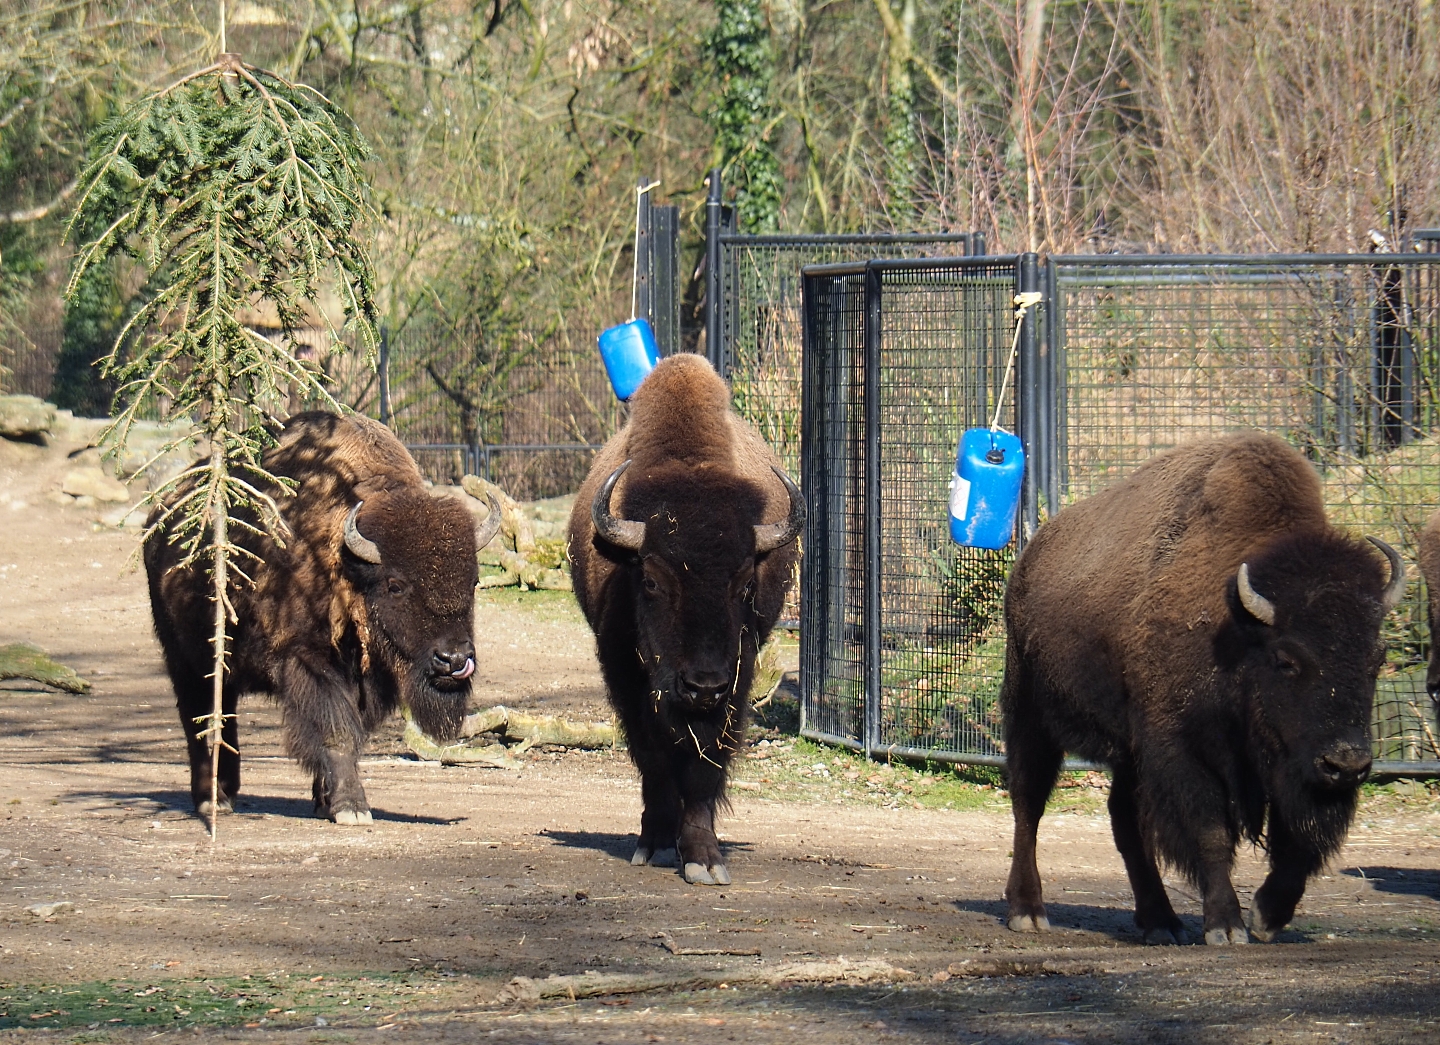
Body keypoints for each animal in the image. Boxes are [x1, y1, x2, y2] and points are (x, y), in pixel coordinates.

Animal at [146, 412, 499, 823]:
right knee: (200, 718)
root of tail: (158, 521)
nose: (453, 660)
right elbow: (336, 732)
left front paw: (325, 801)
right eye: (395, 585)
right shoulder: (309, 663)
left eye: (473, 581)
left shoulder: (365, 680)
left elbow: (352, 733)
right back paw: (212, 799)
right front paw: (351, 808)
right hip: (186, 659)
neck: (347, 564)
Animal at [568, 353, 803, 885]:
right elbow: (653, 755)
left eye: (746, 583)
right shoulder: (625, 674)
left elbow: (704, 763)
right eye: (652, 581)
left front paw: (703, 858)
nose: (702, 686)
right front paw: (656, 844)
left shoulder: (737, 674)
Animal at [1001, 432, 1404, 944]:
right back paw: (1028, 911)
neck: (1238, 632)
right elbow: (1211, 832)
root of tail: (1029, 560)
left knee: (1123, 819)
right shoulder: (1184, 750)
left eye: (1378, 658)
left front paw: (1267, 917)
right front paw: (1226, 926)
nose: (1347, 763)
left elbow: (1299, 841)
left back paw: (1161, 920)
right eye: (1286, 660)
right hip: (1031, 716)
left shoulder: (1287, 766)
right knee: (1028, 805)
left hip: (1128, 751)